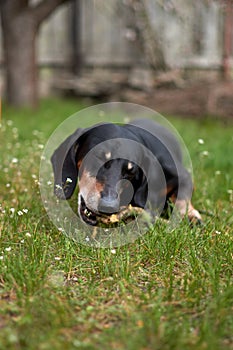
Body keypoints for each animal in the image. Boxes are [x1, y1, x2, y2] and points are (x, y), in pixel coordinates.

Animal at [51, 119, 202, 226]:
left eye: (131, 171)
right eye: (98, 156)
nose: (108, 206)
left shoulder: (184, 176)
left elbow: (183, 197)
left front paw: (191, 215)